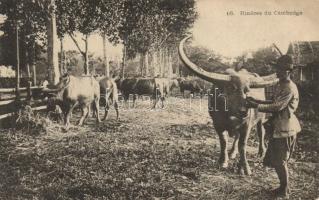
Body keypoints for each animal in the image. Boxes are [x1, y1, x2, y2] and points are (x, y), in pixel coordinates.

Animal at [180, 36, 280, 175]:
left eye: (247, 90)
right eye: (232, 88)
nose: (244, 111)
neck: (229, 113)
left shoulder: (246, 125)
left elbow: (243, 145)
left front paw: (244, 168)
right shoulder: (217, 124)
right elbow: (224, 141)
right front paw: (223, 161)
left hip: (261, 118)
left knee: (261, 132)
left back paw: (261, 152)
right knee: (236, 137)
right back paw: (232, 153)